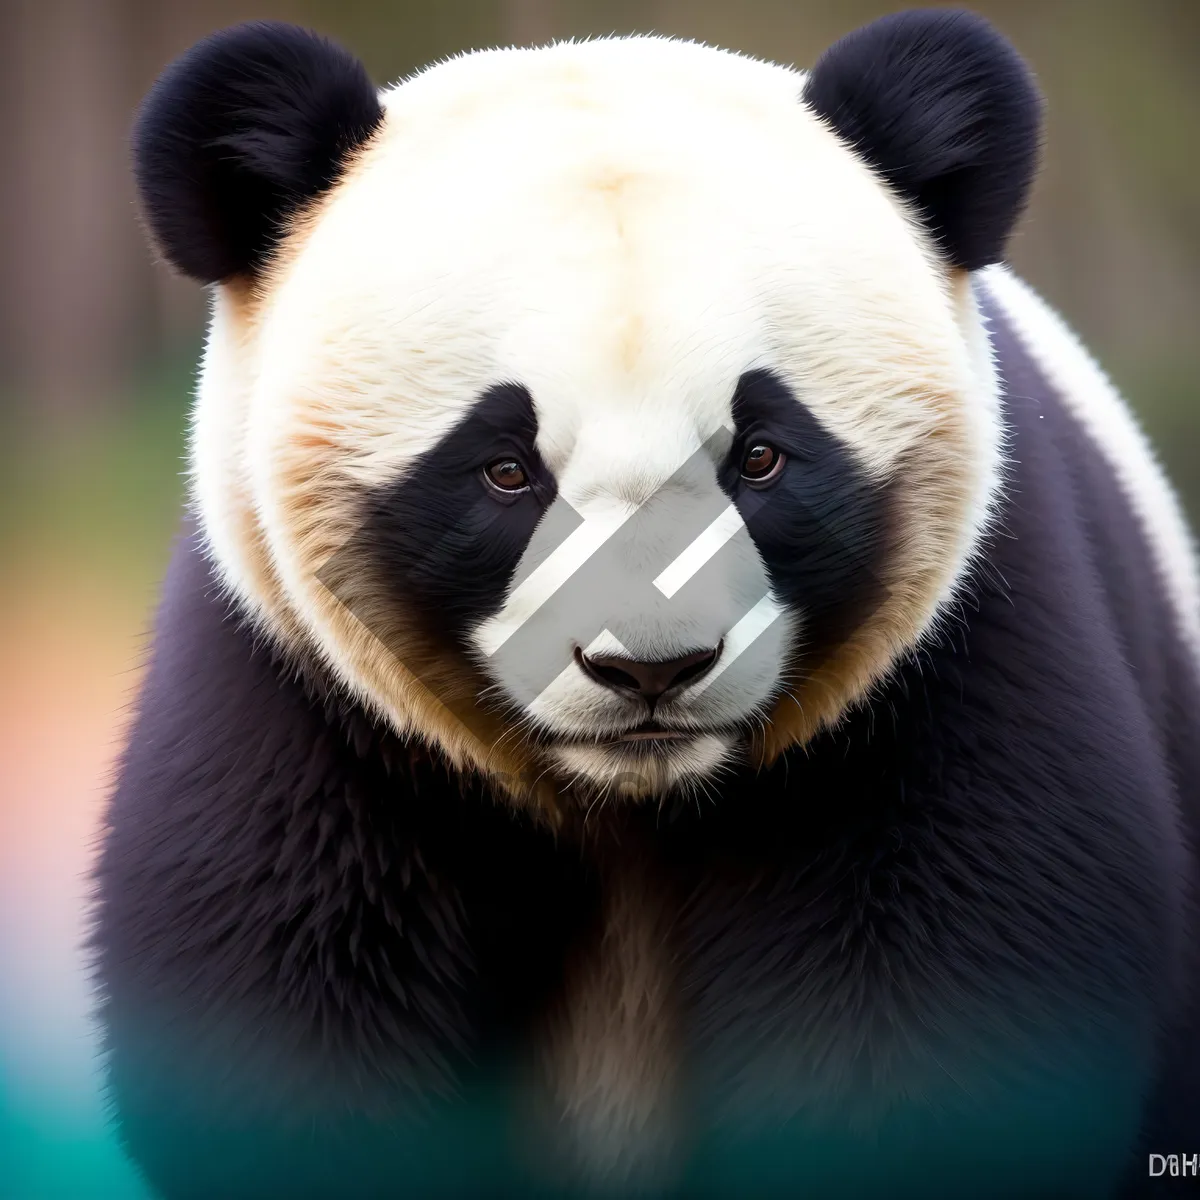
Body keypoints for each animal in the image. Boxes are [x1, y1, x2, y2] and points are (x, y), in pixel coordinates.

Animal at [96, 11, 1200, 1200]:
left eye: (760, 455)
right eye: (504, 470)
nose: (651, 670)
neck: (633, 804)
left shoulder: (950, 672)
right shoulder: (310, 706)